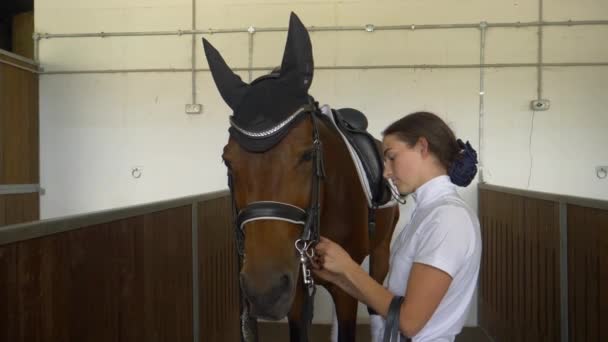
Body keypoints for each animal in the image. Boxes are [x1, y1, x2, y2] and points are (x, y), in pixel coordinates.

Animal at [203, 12, 400, 340]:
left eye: (308, 154)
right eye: (227, 160)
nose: (264, 292)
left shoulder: (346, 291)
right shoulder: (295, 291)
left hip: (381, 251)